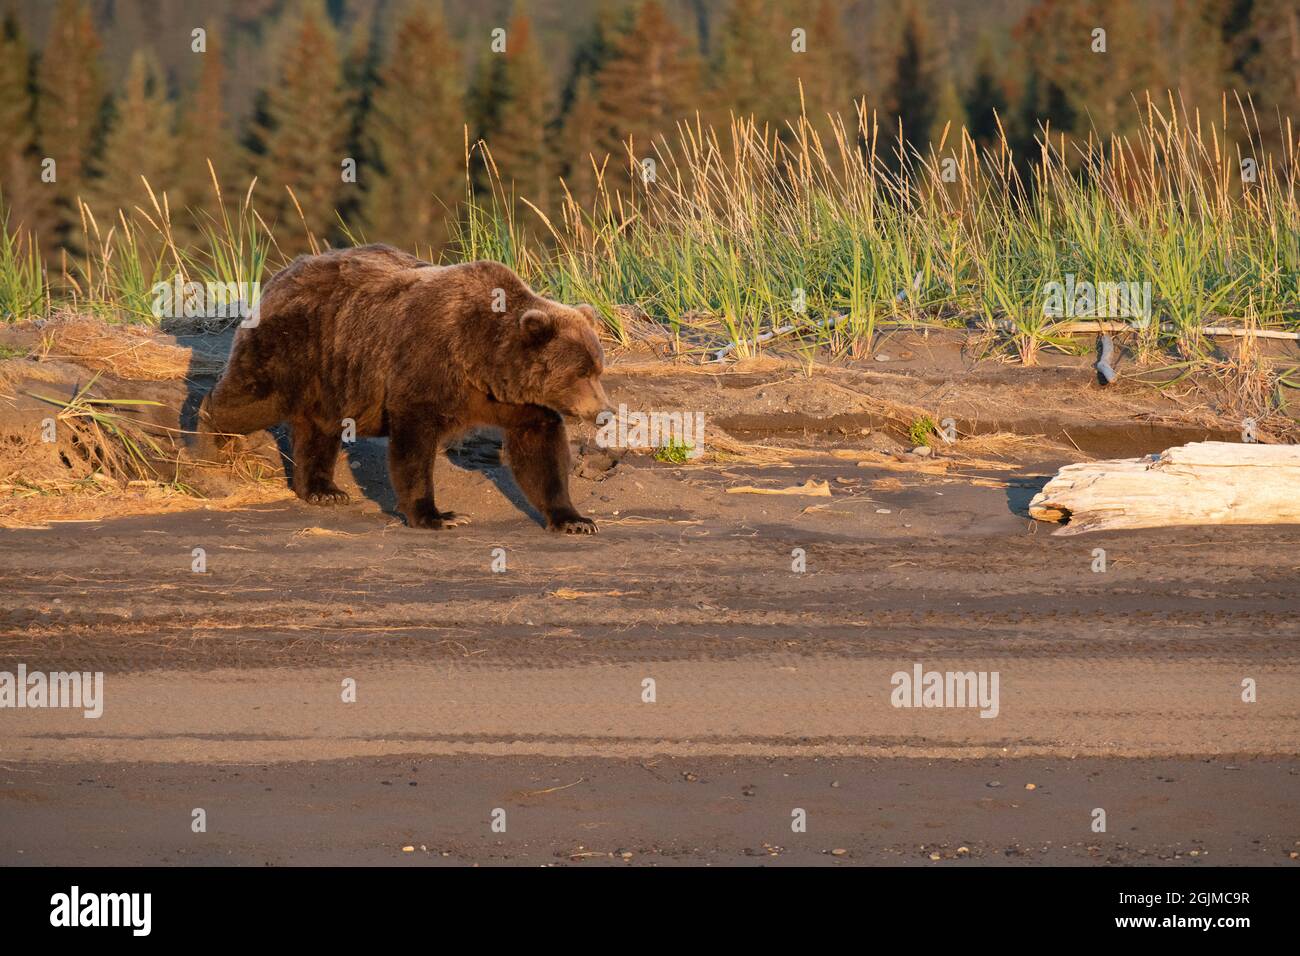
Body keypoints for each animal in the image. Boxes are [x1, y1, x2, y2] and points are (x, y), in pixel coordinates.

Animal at [198, 244, 613, 530]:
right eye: (580, 373)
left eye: (597, 368)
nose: (604, 412)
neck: (480, 359)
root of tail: (283, 273)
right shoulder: (425, 367)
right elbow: (413, 446)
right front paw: (438, 515)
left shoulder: (514, 401)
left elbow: (540, 450)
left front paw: (574, 520)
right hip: (294, 347)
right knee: (252, 401)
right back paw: (207, 438)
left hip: (332, 376)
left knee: (318, 430)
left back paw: (324, 490)